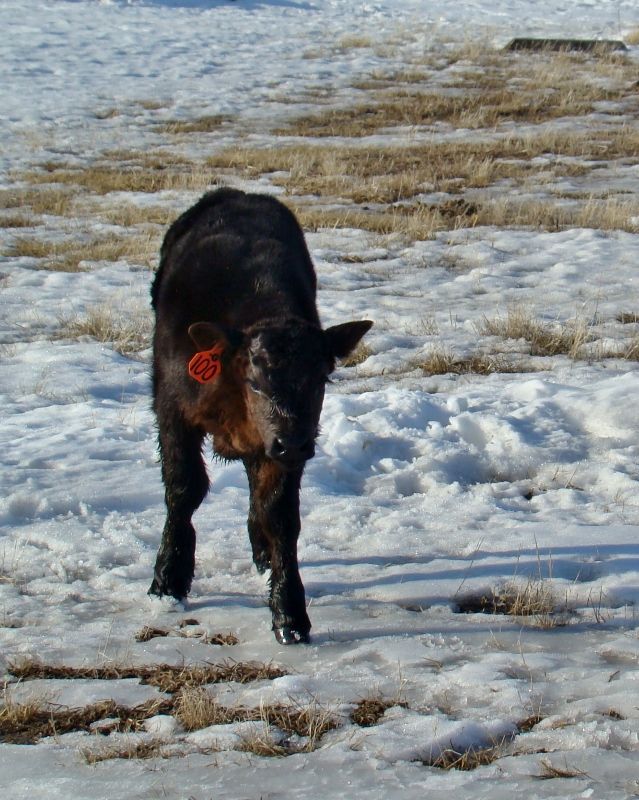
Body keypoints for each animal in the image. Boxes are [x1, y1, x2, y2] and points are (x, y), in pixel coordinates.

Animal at [148, 188, 372, 644]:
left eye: (321, 379)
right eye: (254, 382)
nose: (294, 442)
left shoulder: (282, 448)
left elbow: (280, 514)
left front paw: (289, 613)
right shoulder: (172, 409)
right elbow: (184, 489)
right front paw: (168, 579)